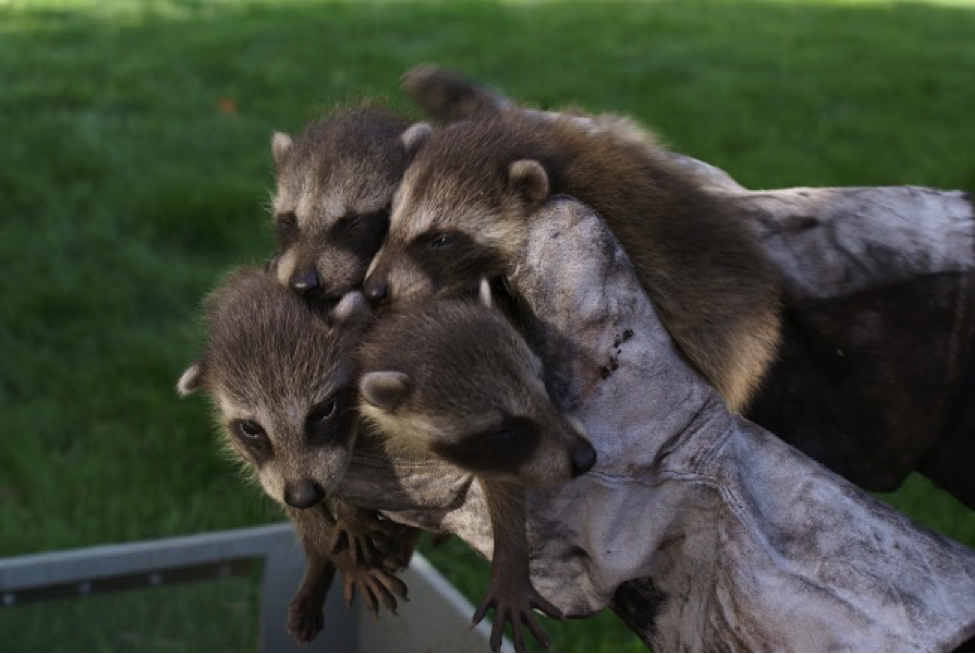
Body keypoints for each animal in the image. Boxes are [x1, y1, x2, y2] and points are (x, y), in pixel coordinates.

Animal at [177, 268, 410, 644]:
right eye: (251, 429)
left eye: (324, 410)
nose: (304, 494)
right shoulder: (268, 469)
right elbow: (295, 506)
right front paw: (337, 554)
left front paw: (351, 514)